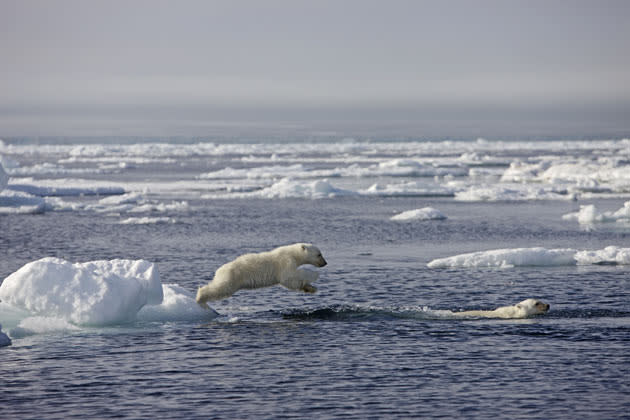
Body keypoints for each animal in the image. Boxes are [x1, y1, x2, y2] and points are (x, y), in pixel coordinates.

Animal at [196, 243, 326, 308]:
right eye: (319, 254)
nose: (325, 263)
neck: (292, 253)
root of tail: (219, 270)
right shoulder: (285, 262)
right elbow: (289, 277)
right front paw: (315, 274)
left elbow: (293, 282)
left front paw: (311, 288)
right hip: (232, 276)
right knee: (221, 288)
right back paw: (200, 297)